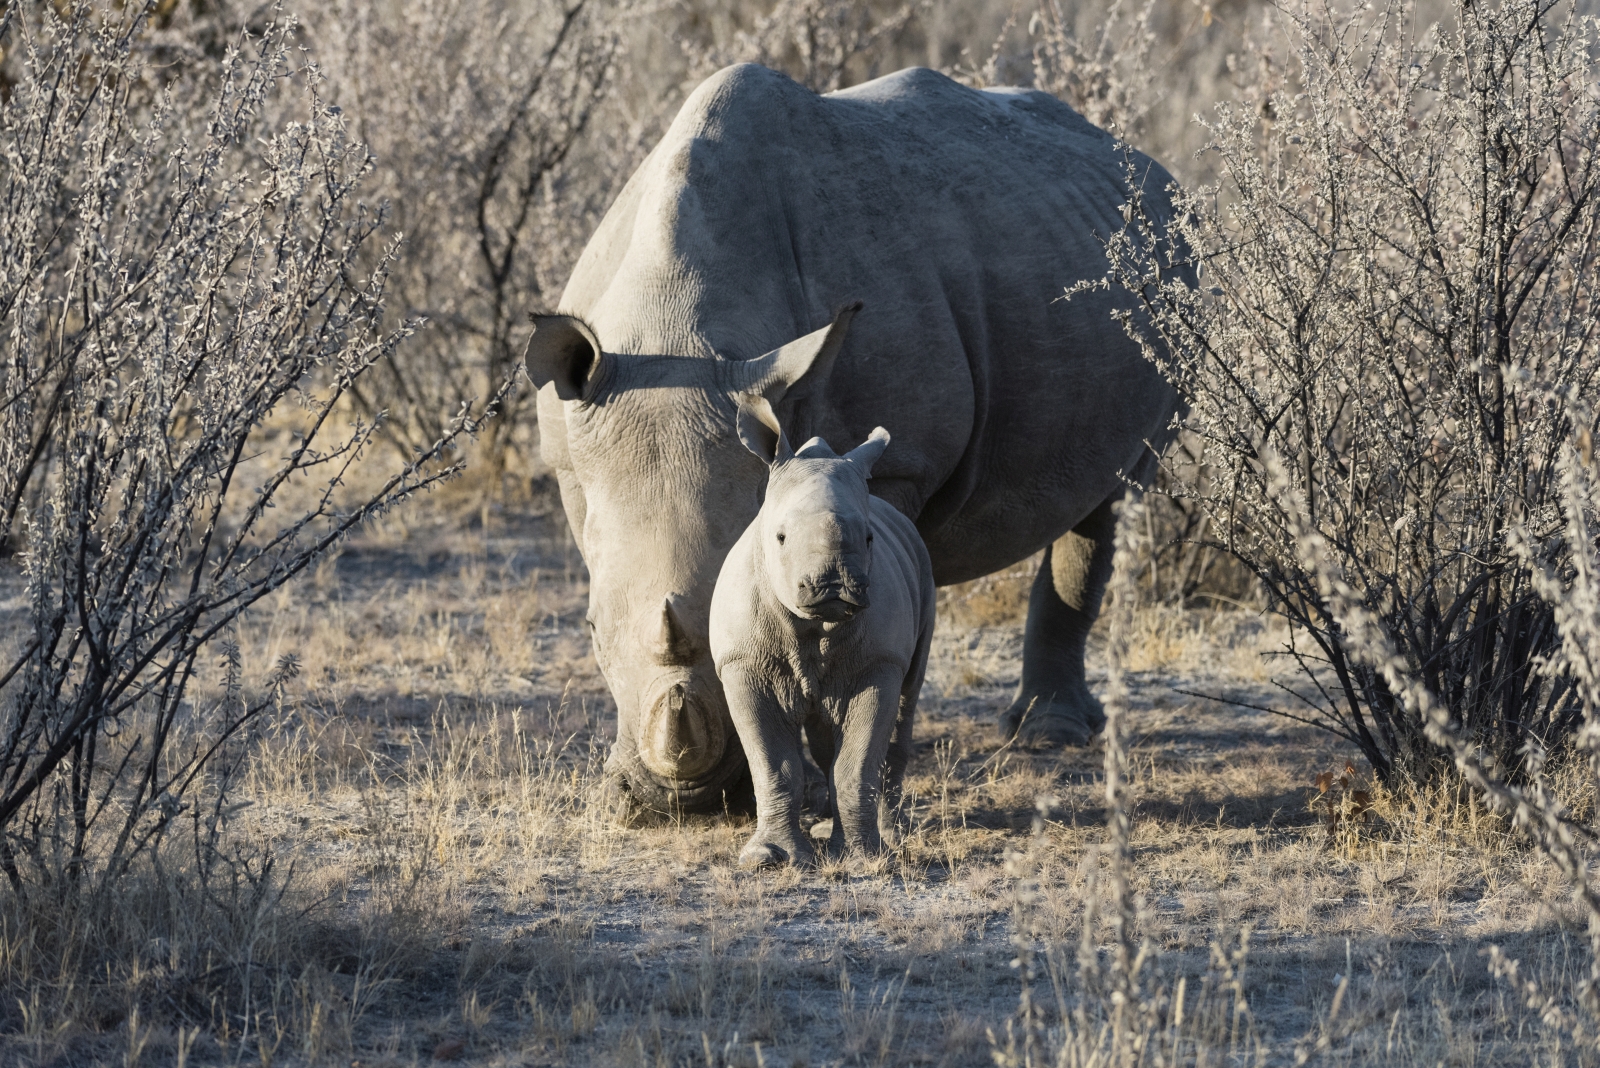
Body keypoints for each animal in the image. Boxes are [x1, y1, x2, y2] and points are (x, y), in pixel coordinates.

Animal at [713, 391, 934, 869]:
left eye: (869, 539)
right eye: (779, 538)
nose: (833, 584)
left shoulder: (877, 663)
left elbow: (857, 761)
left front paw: (863, 860)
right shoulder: (743, 663)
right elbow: (773, 764)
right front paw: (769, 859)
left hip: (924, 570)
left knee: (906, 701)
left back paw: (893, 836)